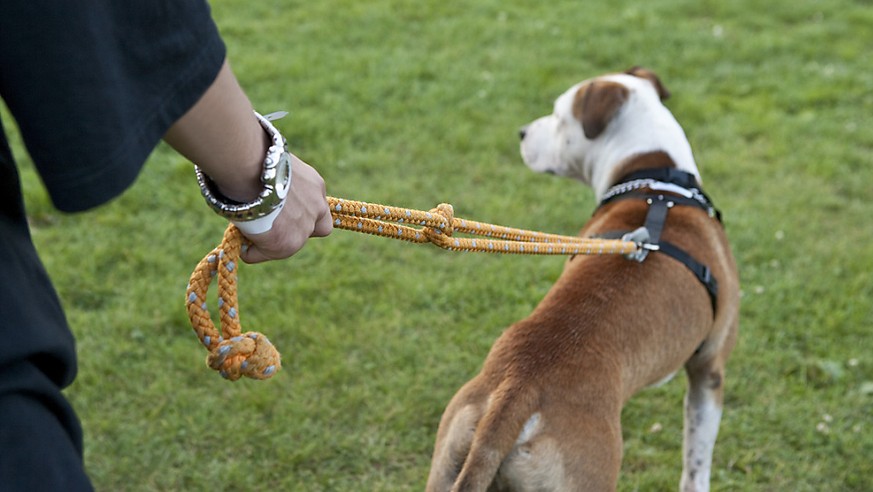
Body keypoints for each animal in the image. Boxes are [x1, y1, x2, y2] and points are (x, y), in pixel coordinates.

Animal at [426, 66, 740, 492]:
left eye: (559, 118)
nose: (522, 132)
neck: (654, 180)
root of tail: (517, 392)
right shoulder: (709, 370)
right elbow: (696, 463)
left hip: (453, 446)